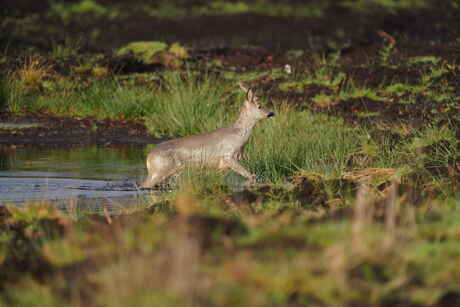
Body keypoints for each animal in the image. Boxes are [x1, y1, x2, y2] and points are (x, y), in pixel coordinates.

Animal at [140, 82, 274, 189]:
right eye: (260, 106)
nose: (271, 113)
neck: (239, 137)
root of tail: (149, 158)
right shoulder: (228, 156)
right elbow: (251, 175)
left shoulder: (222, 166)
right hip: (158, 172)